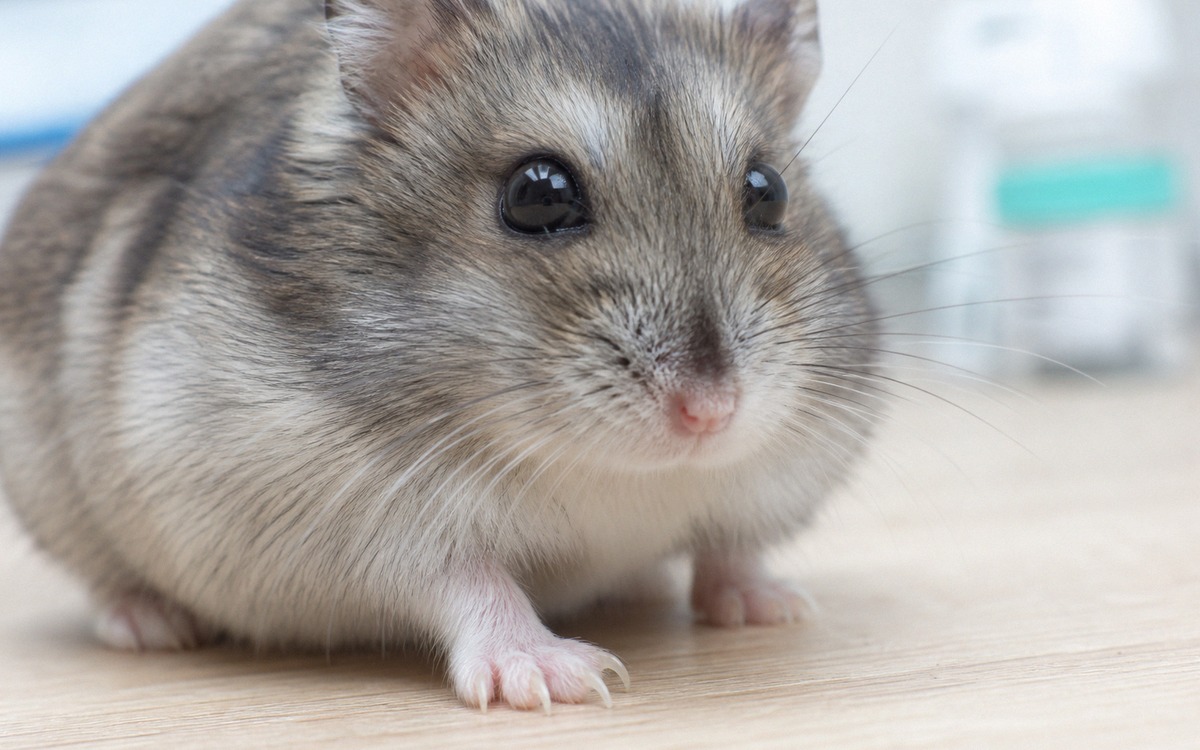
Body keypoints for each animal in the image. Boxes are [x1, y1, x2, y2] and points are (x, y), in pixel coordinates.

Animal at [0, 0, 877, 711]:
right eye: (537, 194)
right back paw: (152, 622)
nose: (710, 413)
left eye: (768, 192)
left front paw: (780, 607)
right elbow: (468, 580)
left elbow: (733, 544)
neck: (623, 479)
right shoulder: (344, 517)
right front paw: (562, 678)